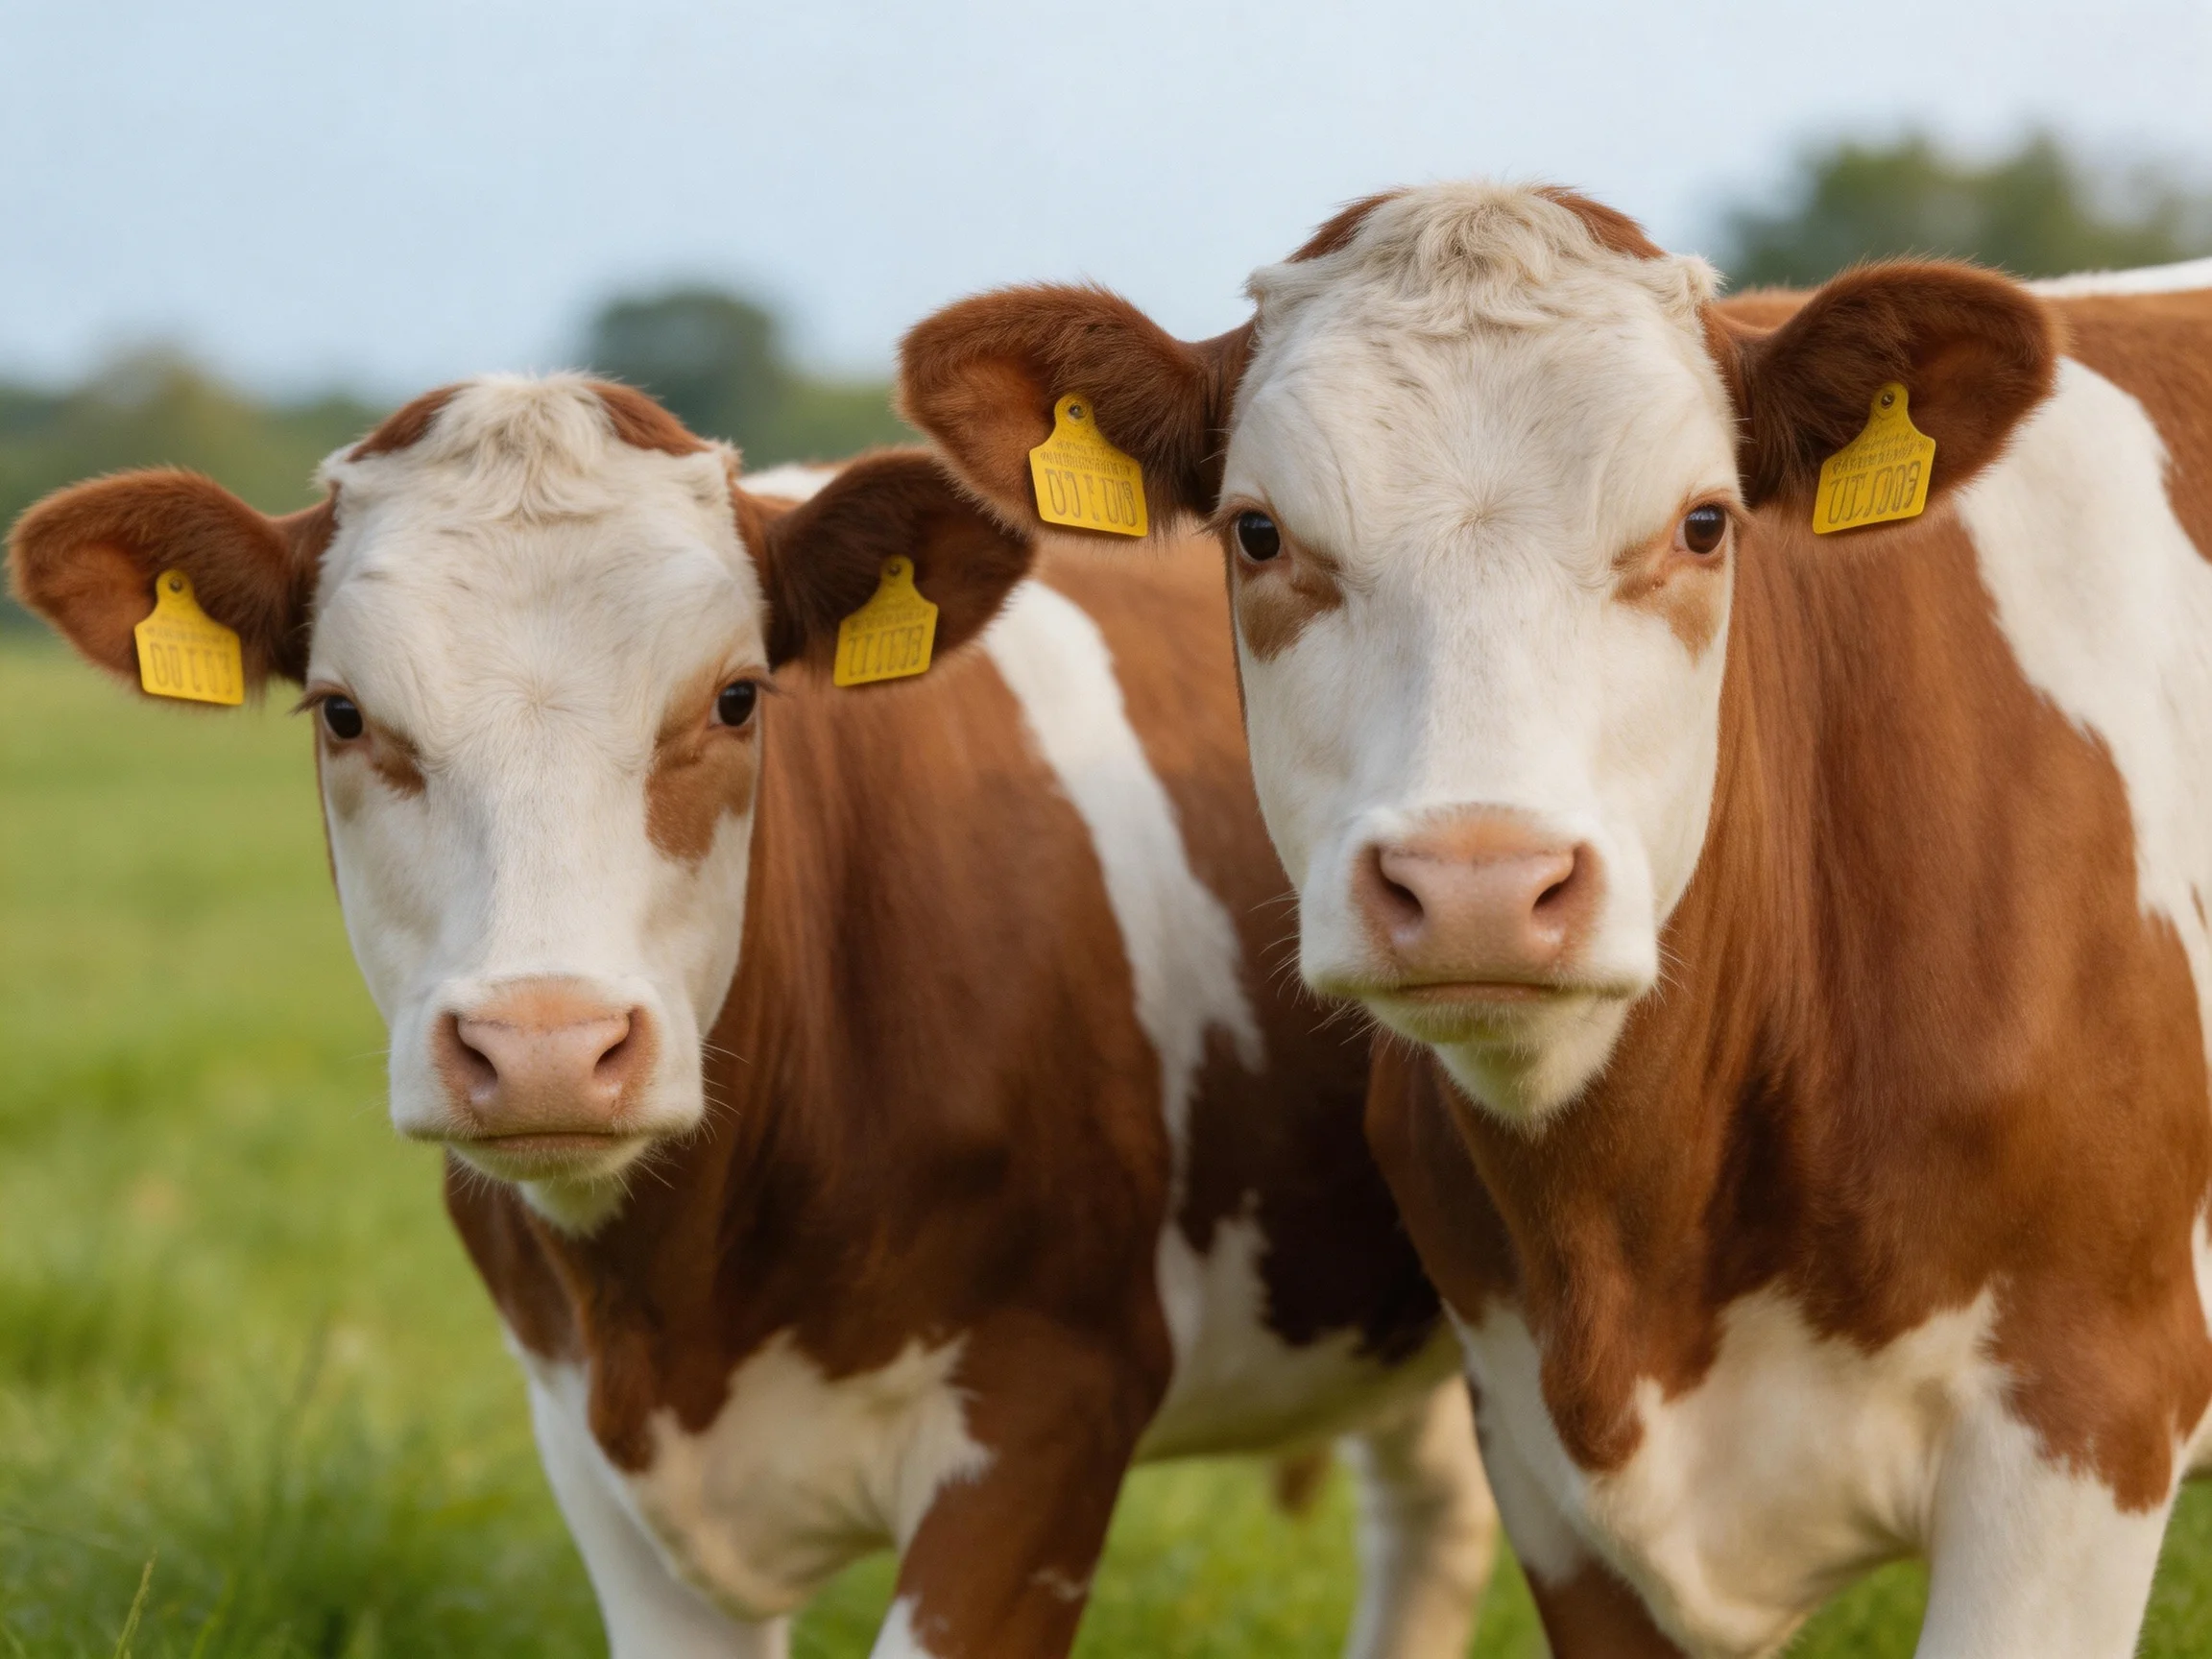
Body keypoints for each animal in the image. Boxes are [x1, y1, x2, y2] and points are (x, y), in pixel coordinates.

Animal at [6, 377, 1499, 1659]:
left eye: (733, 698)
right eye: (342, 713)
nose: (547, 1048)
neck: (682, 1310)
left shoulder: (1049, 1419)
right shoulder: (591, 1451)